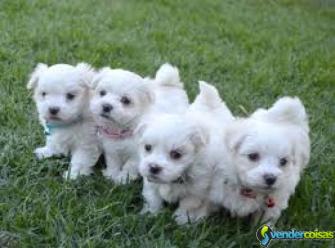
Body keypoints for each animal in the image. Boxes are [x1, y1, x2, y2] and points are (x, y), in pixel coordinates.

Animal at [139, 82, 234, 225]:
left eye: (176, 154)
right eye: (147, 147)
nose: (154, 167)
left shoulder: (197, 191)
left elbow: (187, 205)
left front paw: (181, 220)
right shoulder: (150, 183)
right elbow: (153, 198)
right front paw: (151, 213)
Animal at [211, 97, 312, 225]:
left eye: (283, 161)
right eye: (253, 156)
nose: (271, 178)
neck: (250, 190)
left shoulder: (274, 203)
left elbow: (264, 220)